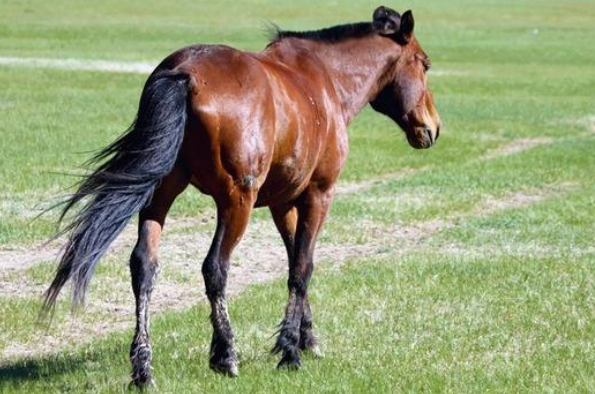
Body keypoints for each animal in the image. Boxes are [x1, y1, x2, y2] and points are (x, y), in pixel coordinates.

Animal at [43, 6, 442, 386]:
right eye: (425, 64)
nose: (433, 128)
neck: (325, 81)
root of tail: (184, 73)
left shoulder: (284, 203)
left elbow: (294, 260)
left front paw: (305, 338)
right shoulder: (318, 195)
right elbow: (302, 268)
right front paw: (289, 351)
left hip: (161, 194)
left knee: (144, 266)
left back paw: (143, 367)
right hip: (237, 202)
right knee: (215, 268)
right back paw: (225, 354)